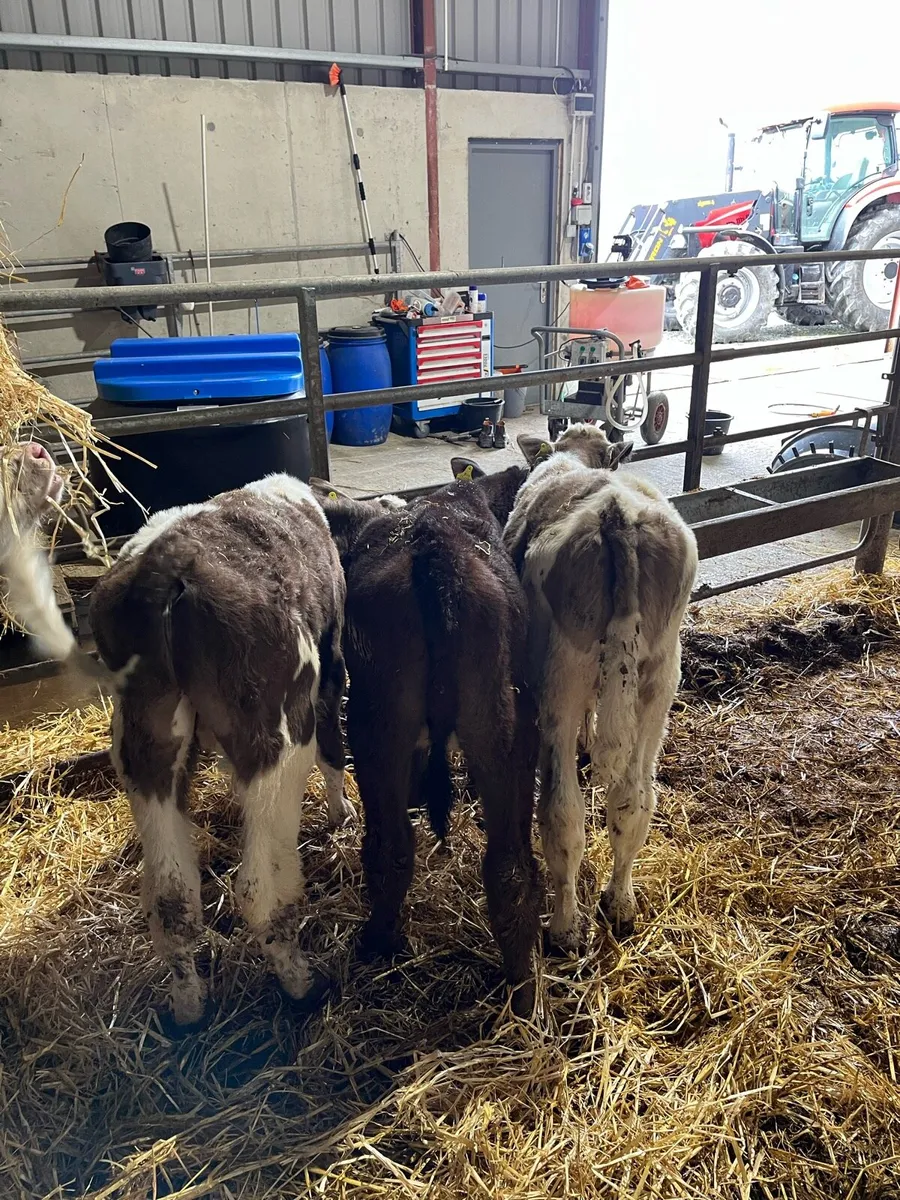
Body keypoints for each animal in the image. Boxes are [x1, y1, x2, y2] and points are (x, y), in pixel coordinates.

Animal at [89, 475, 353, 1027]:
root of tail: (164, 565)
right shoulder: (332, 663)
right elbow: (334, 753)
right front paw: (342, 814)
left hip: (144, 741)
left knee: (172, 898)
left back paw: (188, 1007)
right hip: (277, 735)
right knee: (259, 889)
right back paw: (302, 984)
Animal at [311, 463, 542, 1016]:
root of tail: (438, 551)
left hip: (377, 723)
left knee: (389, 848)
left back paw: (377, 944)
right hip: (506, 728)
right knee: (509, 868)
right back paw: (522, 993)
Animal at [504, 424, 698, 951]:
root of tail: (618, 515)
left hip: (560, 676)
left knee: (561, 814)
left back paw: (566, 929)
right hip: (661, 675)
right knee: (634, 799)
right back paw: (620, 903)